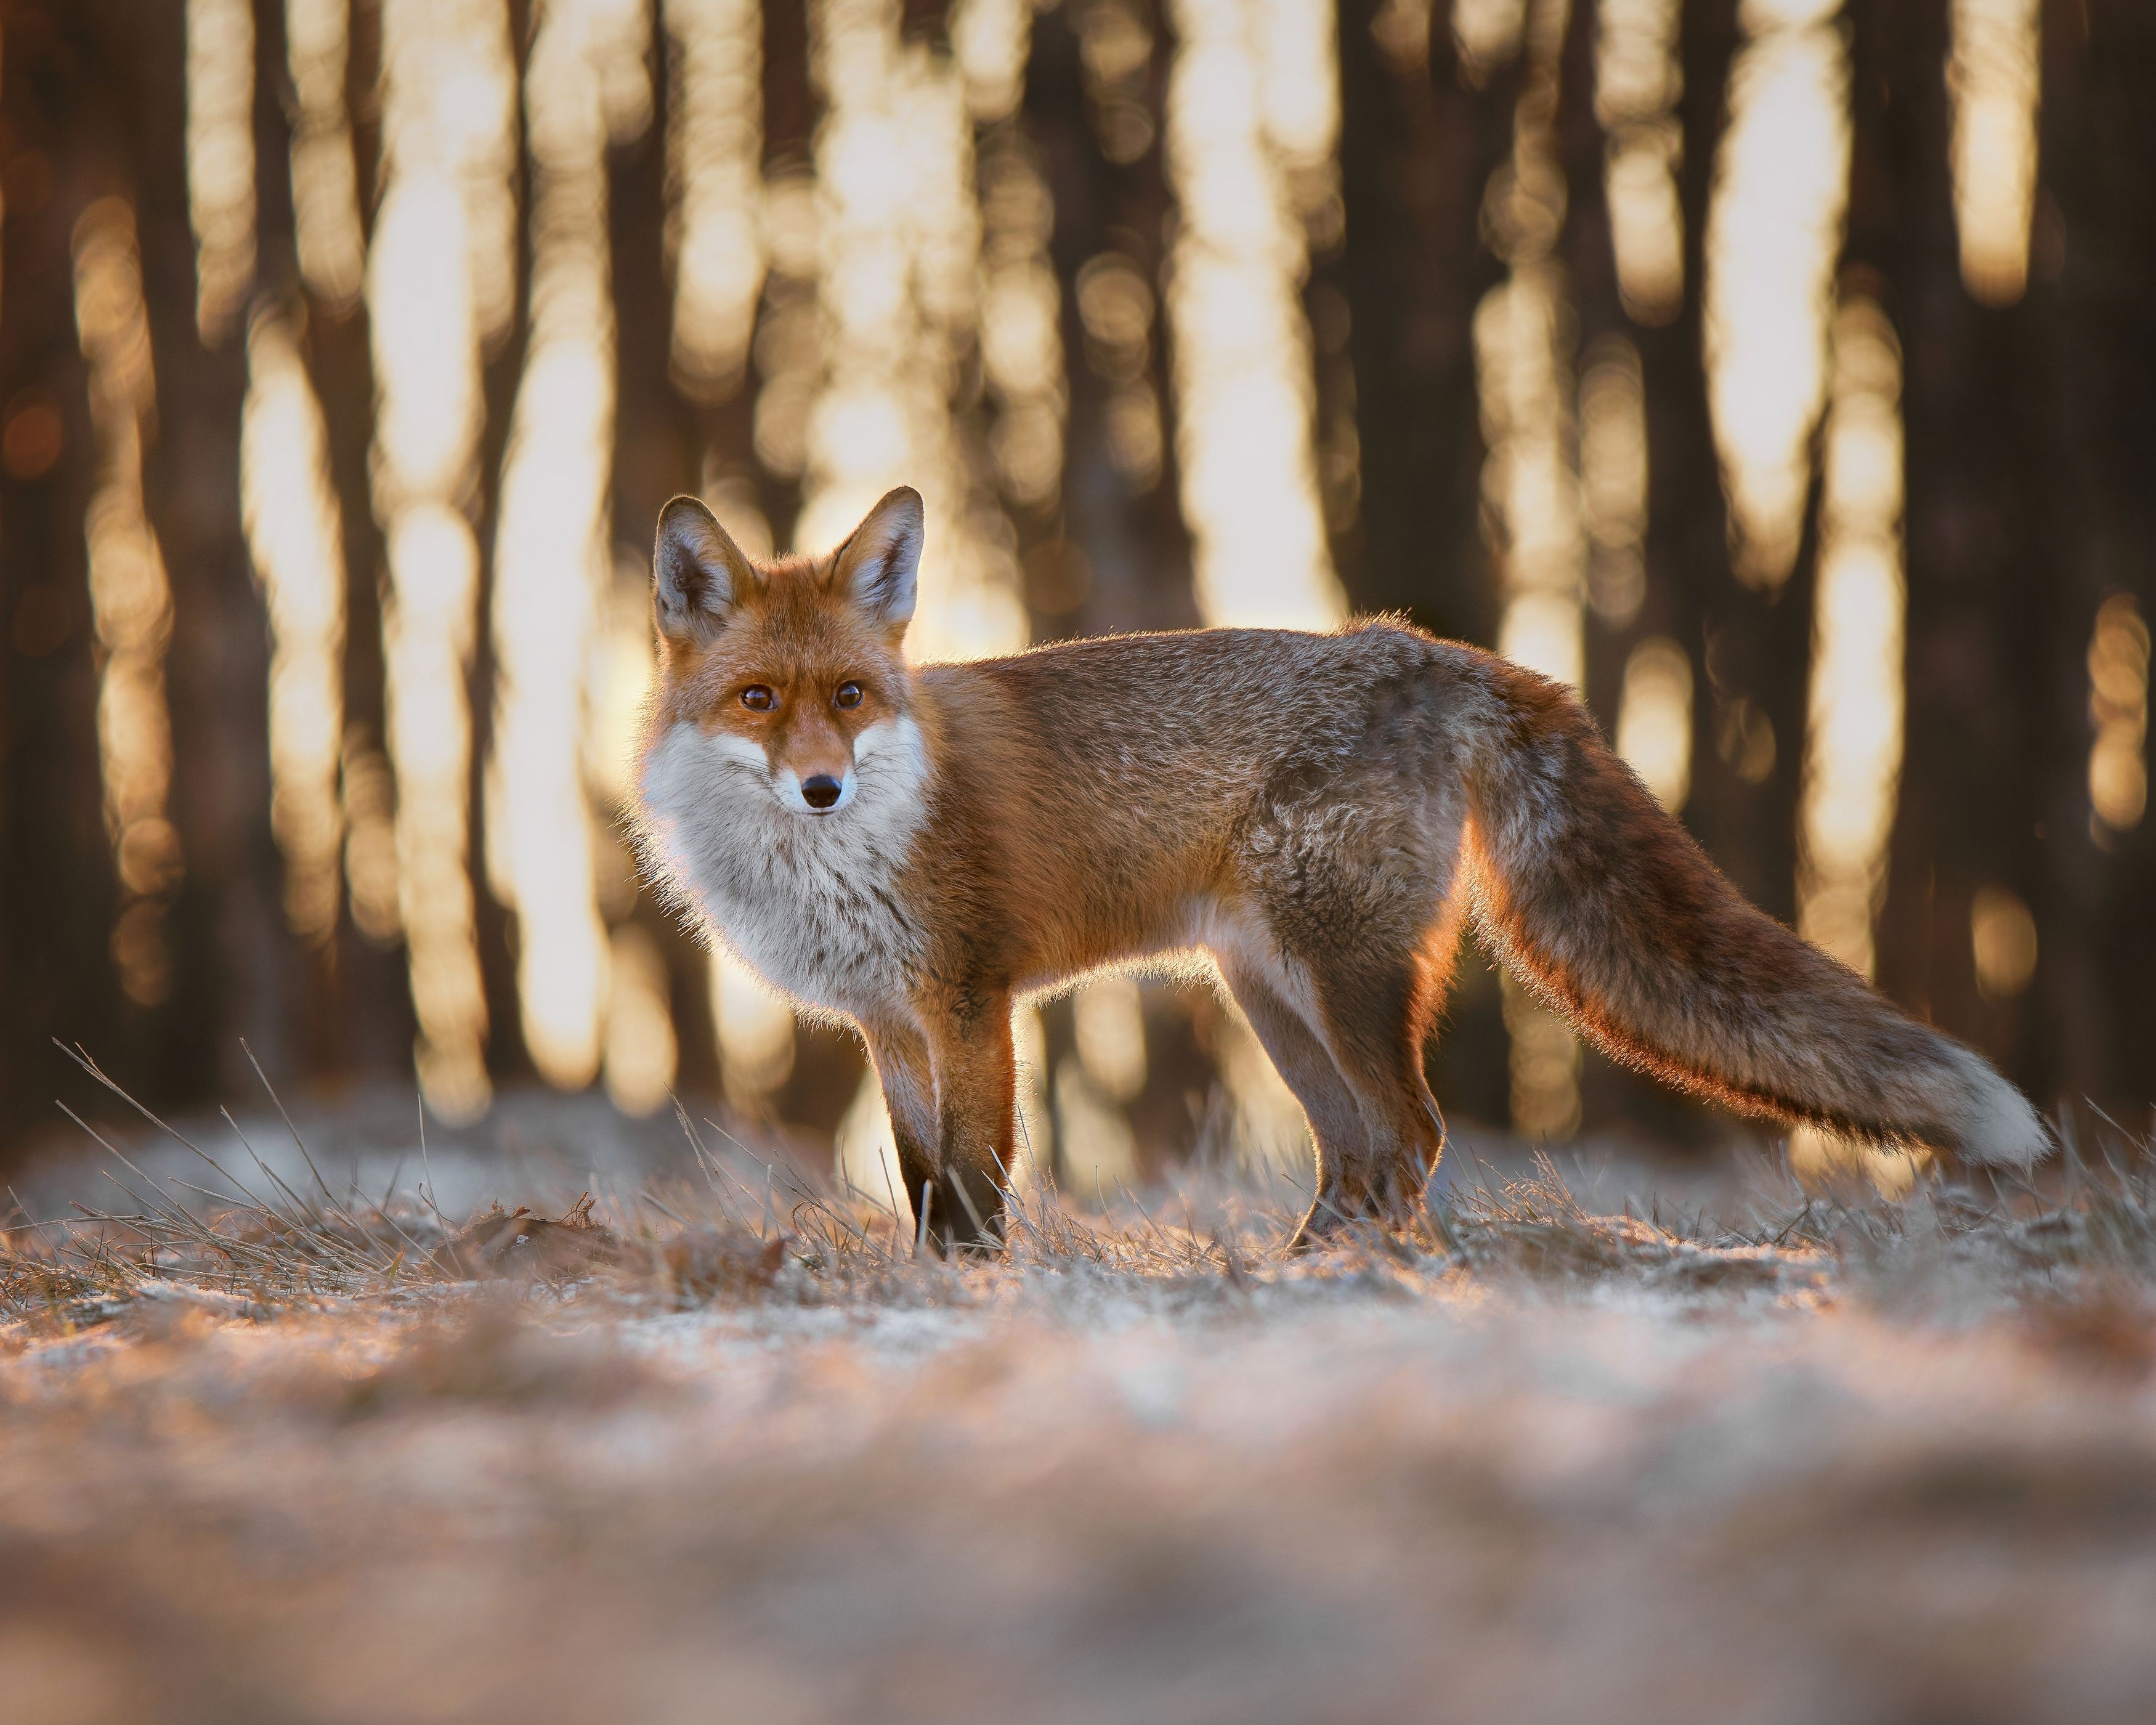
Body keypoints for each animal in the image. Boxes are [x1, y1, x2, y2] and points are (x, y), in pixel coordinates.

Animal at [630, 485, 2044, 1251]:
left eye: (851, 697)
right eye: (758, 701)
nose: (822, 787)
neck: (831, 861)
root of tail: (1430, 648)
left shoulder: (970, 1002)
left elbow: (977, 1184)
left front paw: (975, 1299)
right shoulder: (889, 1023)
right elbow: (925, 1183)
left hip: (1341, 977)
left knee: (1411, 1136)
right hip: (1274, 998)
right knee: (1360, 1154)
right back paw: (1298, 1273)